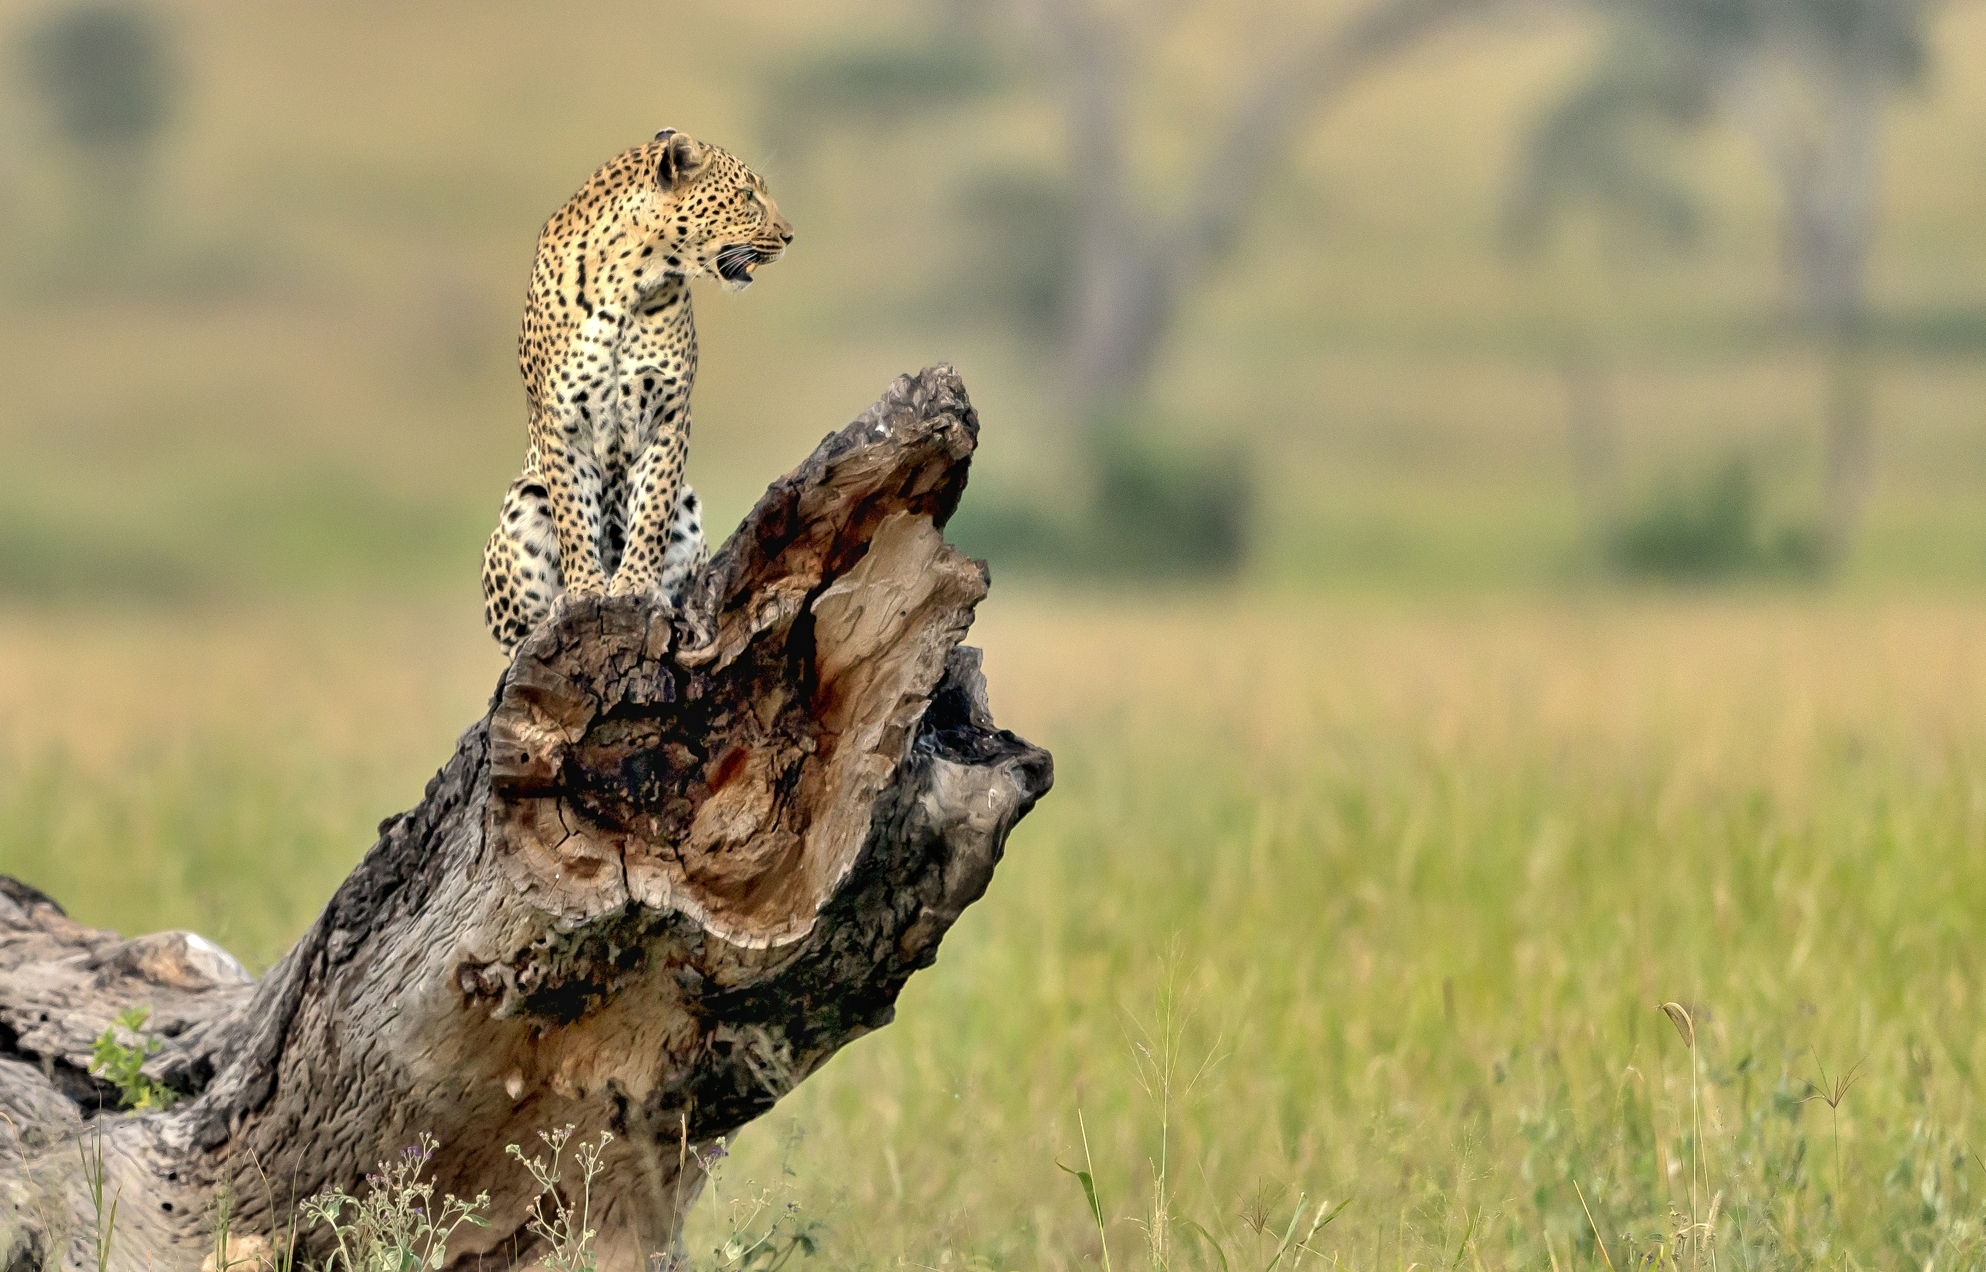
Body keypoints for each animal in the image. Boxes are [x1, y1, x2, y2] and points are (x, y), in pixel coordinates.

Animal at [481, 129, 793, 654]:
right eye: (748, 195)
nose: (791, 235)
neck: (631, 284)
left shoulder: (669, 411)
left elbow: (652, 508)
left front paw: (634, 585)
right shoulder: (559, 421)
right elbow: (573, 513)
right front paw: (586, 590)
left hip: (689, 507)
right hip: (523, 500)